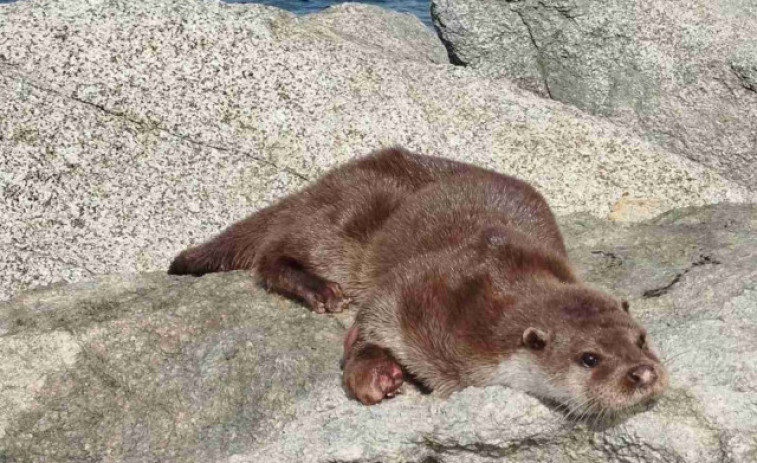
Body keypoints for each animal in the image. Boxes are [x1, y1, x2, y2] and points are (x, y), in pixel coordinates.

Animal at [168, 147, 664, 416]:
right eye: (589, 358)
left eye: (641, 339)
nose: (643, 372)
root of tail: (329, 180)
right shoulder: (418, 290)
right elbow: (368, 323)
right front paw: (374, 375)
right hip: (347, 226)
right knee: (274, 251)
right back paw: (319, 291)